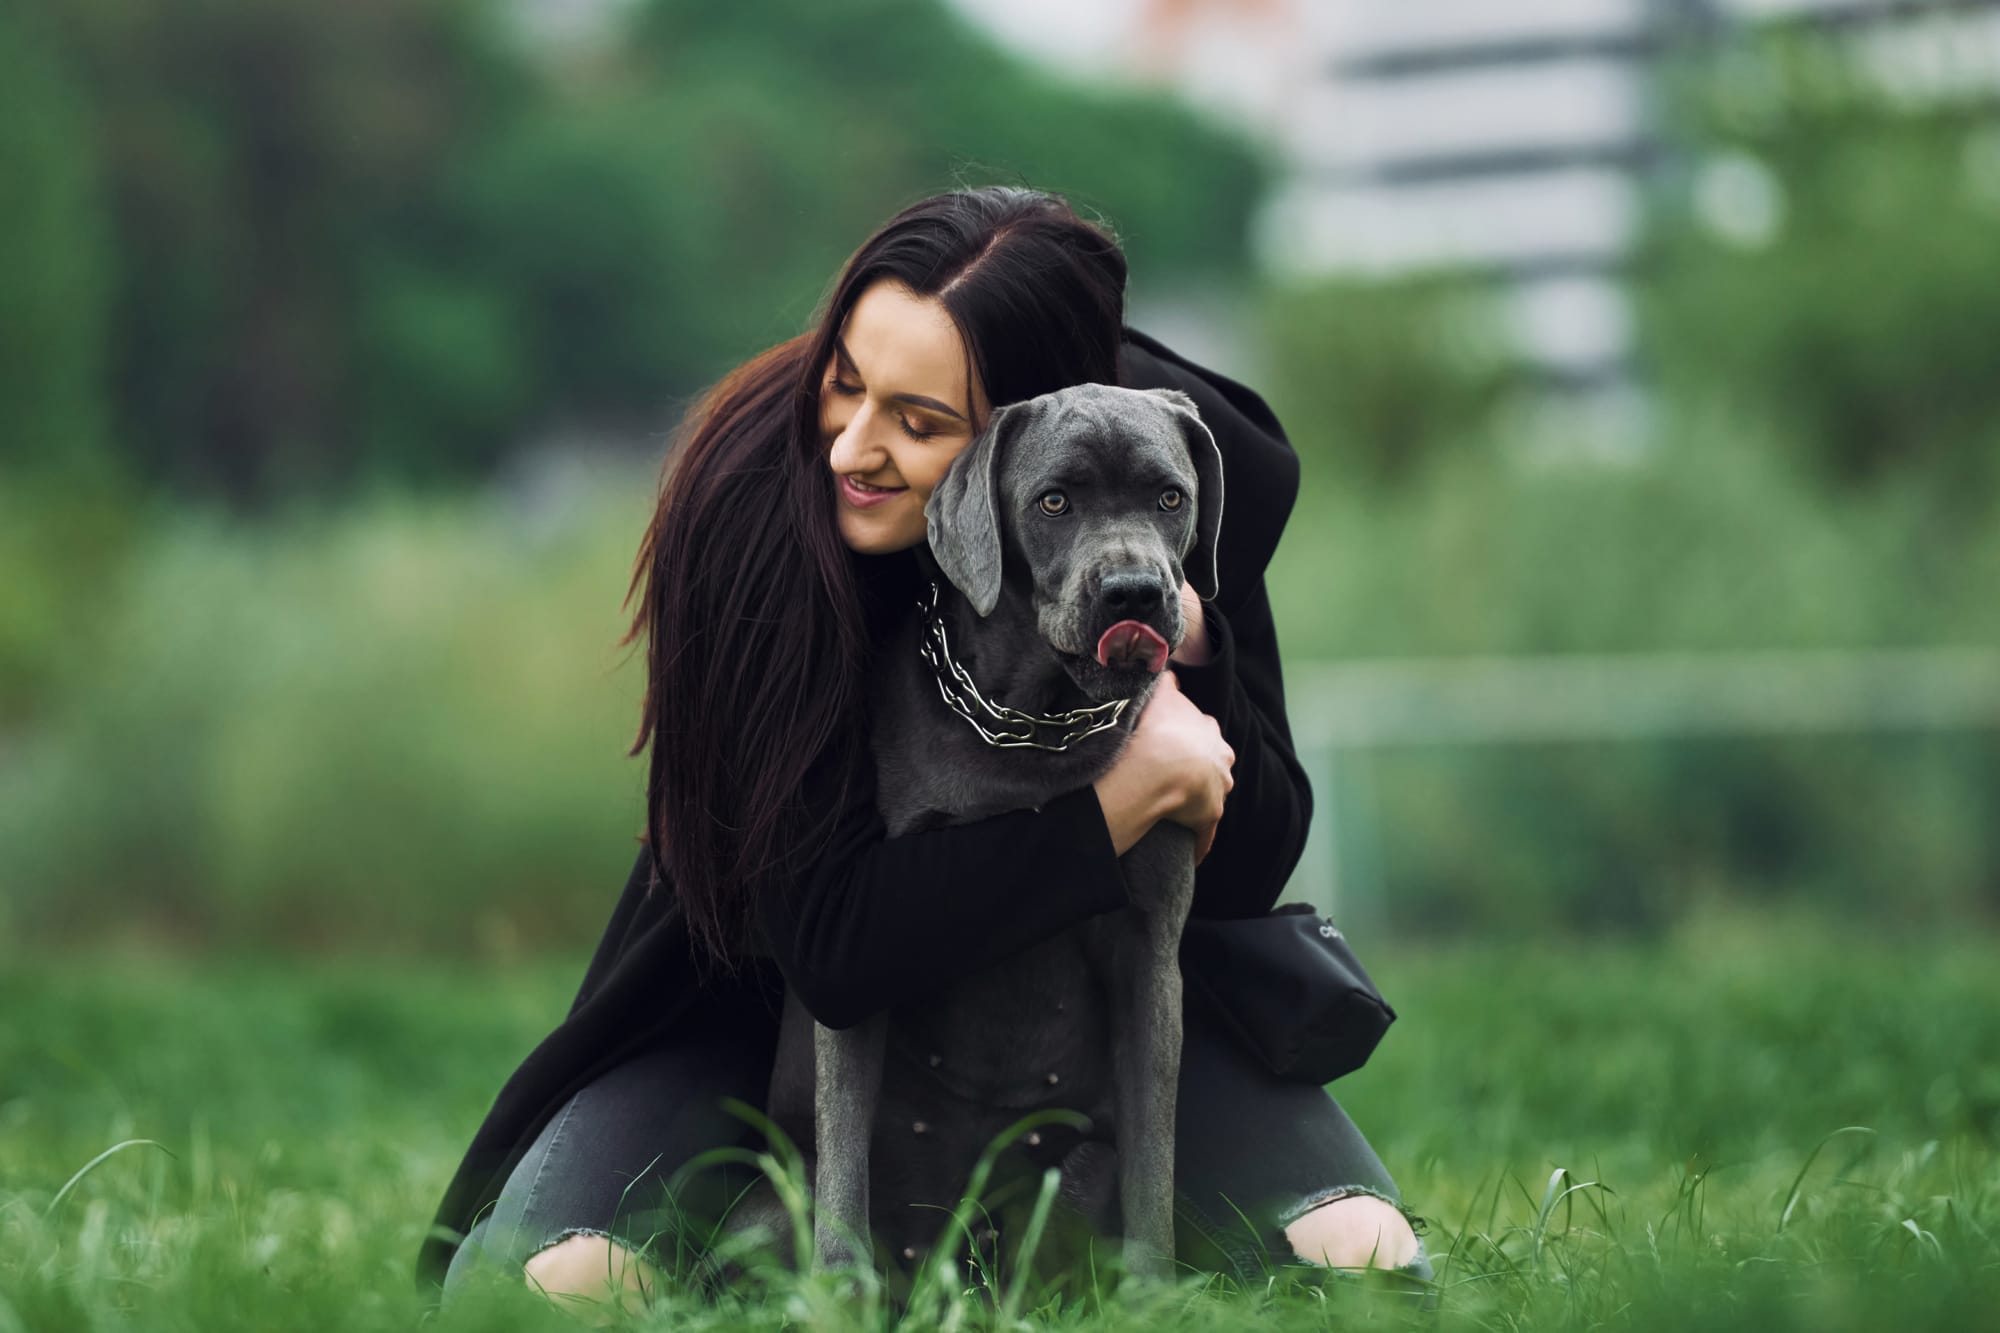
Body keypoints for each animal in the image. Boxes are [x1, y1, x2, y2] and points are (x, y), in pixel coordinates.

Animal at [720, 382, 1216, 1288]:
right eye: (1053, 501)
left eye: (1171, 497)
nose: (1132, 592)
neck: (1035, 723)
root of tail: (952, 1261)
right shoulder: (865, 944)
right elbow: (843, 1155)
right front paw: (839, 1292)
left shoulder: (1150, 954)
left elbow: (1152, 1157)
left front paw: (1155, 1292)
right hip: (766, 1208)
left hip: (1070, 1179)